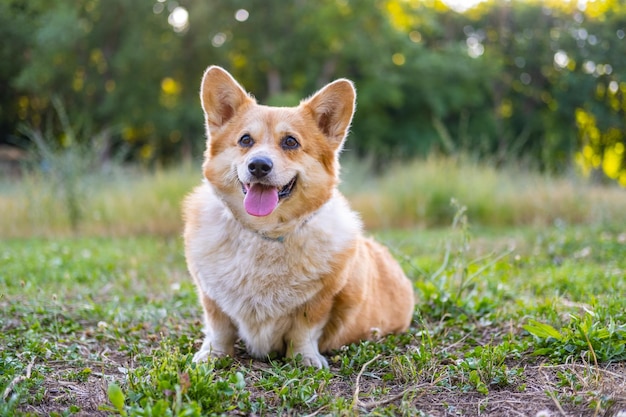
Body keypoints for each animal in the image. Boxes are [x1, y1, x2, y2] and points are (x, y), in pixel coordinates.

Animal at [182, 66, 414, 368]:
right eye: (245, 140)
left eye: (290, 142)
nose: (258, 165)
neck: (265, 233)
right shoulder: (211, 297)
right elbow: (219, 327)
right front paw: (212, 355)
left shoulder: (320, 300)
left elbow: (304, 329)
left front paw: (304, 358)